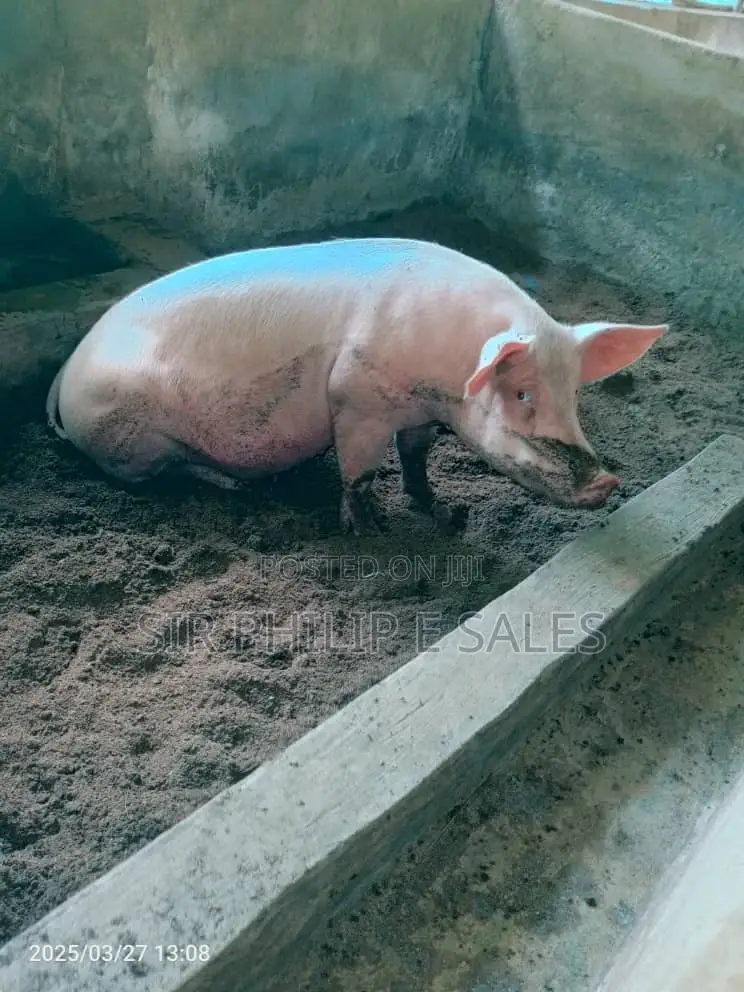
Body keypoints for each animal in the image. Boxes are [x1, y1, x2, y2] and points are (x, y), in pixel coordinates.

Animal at [45, 237, 666, 533]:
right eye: (522, 395)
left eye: (574, 394)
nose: (607, 482)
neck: (443, 379)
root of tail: (63, 377)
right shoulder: (356, 397)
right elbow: (360, 472)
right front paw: (369, 530)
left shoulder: (418, 413)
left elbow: (415, 459)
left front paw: (441, 511)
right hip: (130, 438)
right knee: (156, 475)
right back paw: (233, 486)